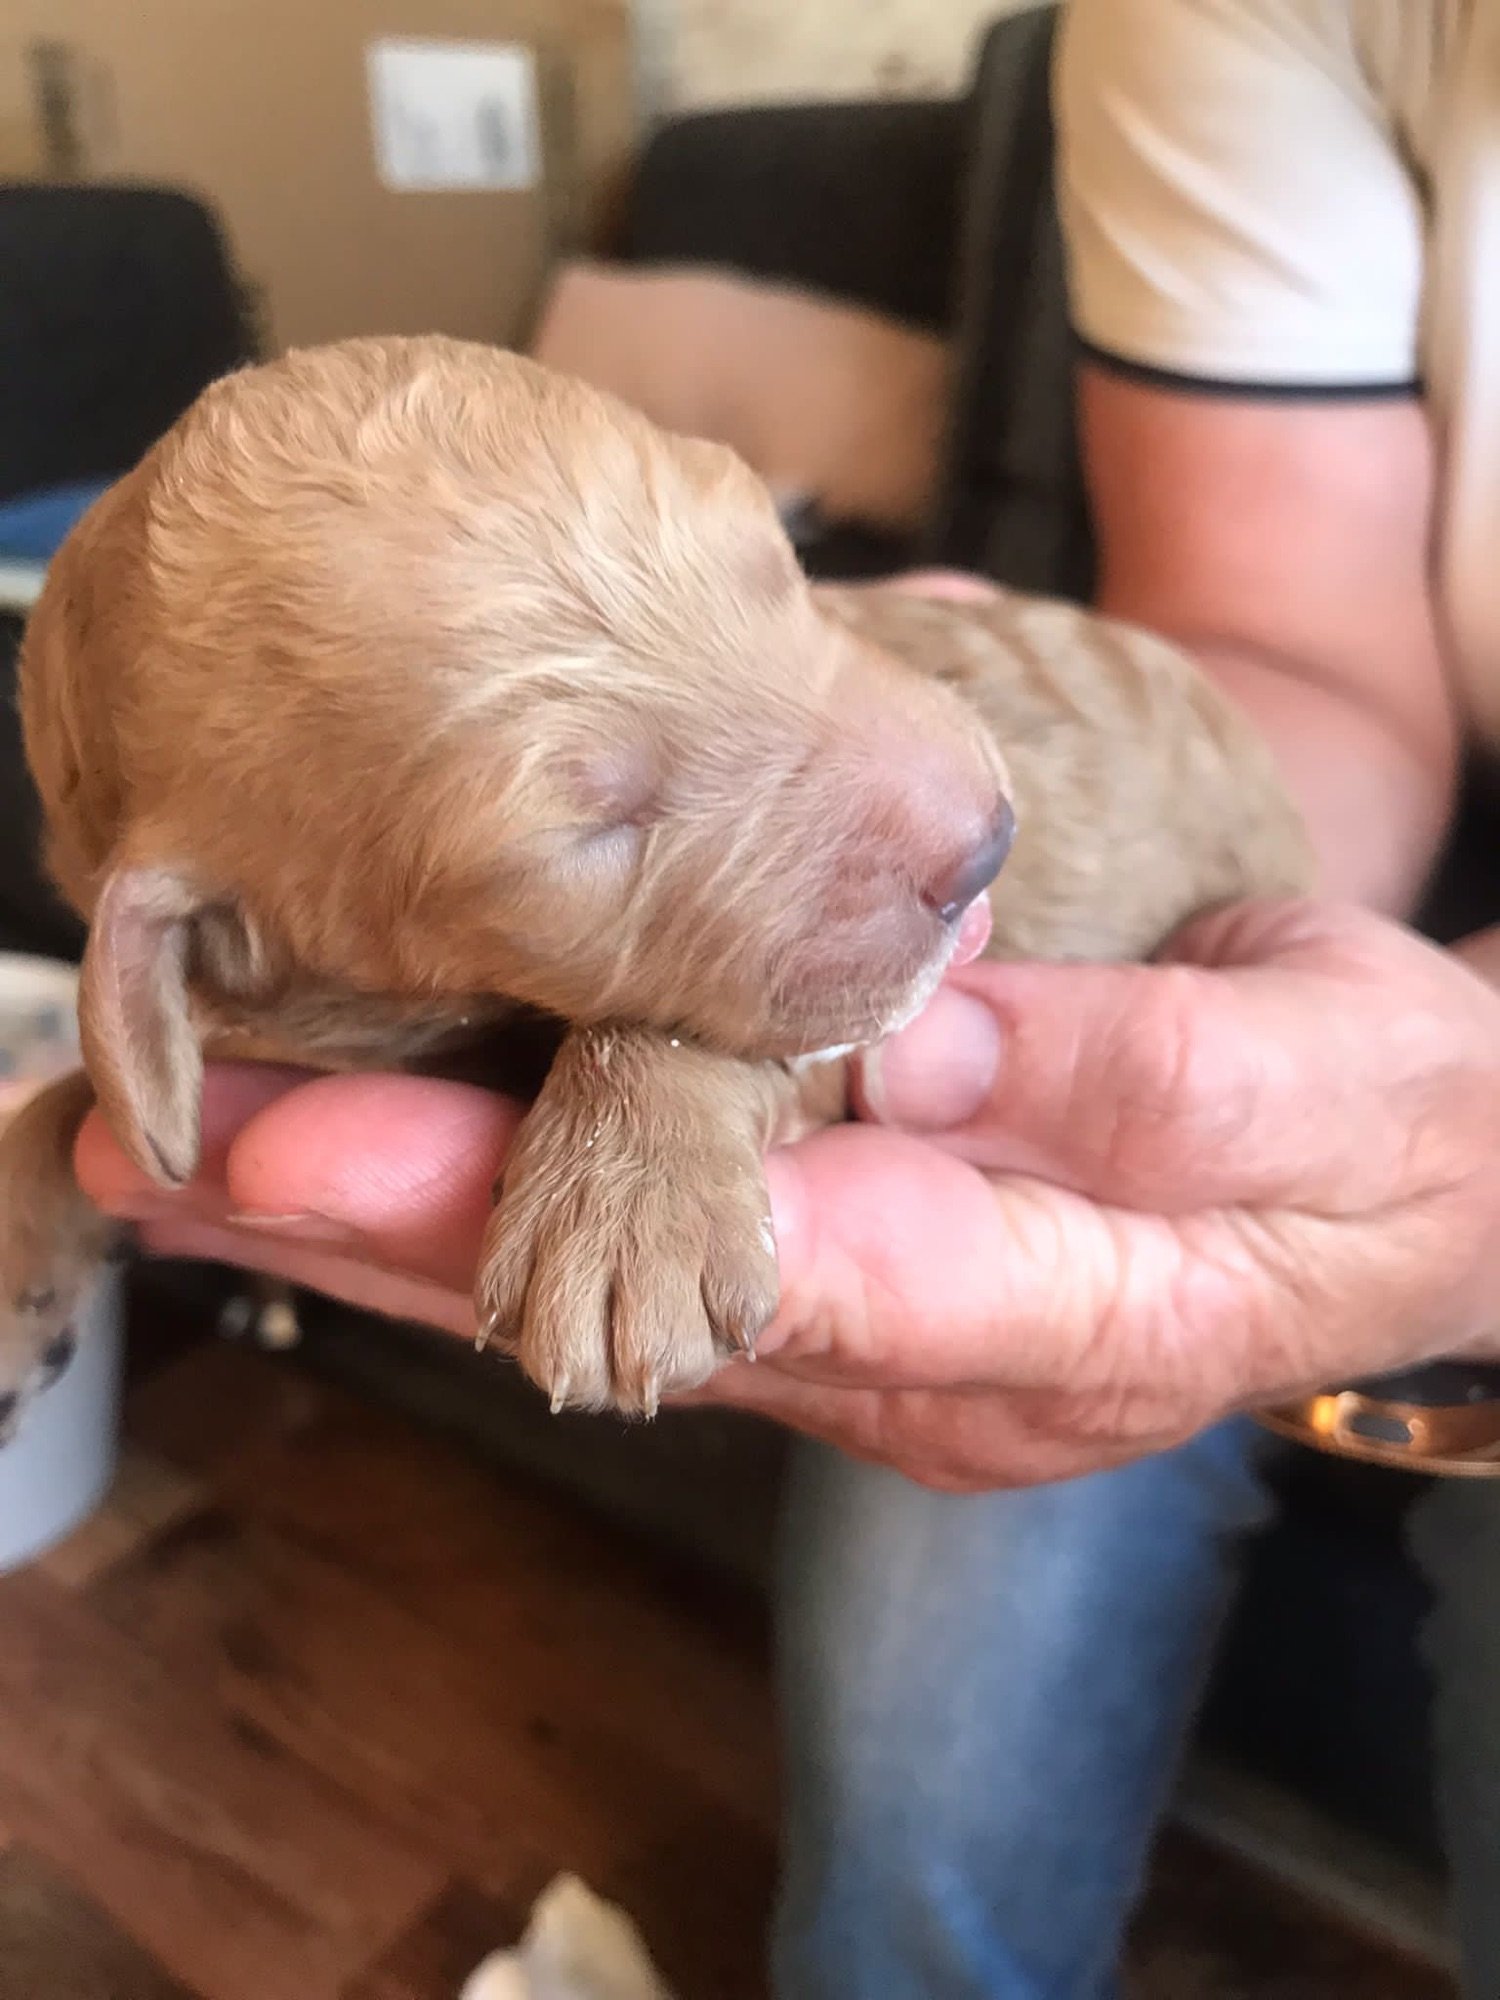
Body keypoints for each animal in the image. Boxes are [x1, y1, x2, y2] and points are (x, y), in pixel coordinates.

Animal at [0, 334, 1312, 1435]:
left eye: (782, 564)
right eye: (591, 832)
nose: (990, 842)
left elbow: (701, 1036)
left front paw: (630, 1206)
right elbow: (88, 1091)